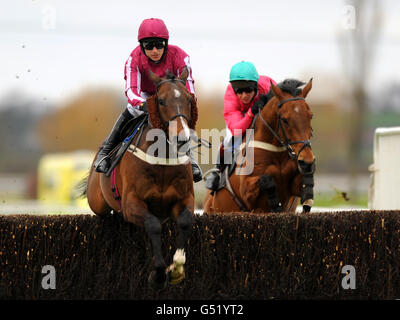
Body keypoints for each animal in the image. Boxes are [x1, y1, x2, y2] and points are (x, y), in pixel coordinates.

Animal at [83, 67, 198, 290]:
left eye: (189, 99)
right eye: (161, 101)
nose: (182, 138)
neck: (163, 159)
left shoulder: (184, 198)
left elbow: (185, 221)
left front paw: (176, 269)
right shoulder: (131, 202)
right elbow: (152, 225)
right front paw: (158, 274)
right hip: (97, 202)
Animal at [203, 78, 316, 215]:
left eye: (310, 116)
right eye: (284, 120)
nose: (307, 161)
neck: (276, 151)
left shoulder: (293, 187)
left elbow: (304, 181)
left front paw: (308, 194)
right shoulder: (246, 192)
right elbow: (266, 179)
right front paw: (275, 204)